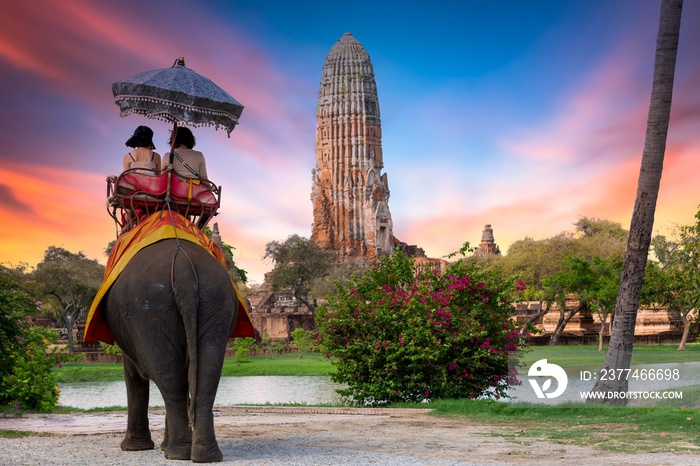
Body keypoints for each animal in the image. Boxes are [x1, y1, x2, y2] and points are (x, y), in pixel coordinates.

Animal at [102, 238, 237, 464]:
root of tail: (183, 271)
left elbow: (133, 375)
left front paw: (133, 448)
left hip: (148, 313)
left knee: (170, 378)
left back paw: (177, 453)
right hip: (217, 303)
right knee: (205, 375)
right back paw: (204, 455)